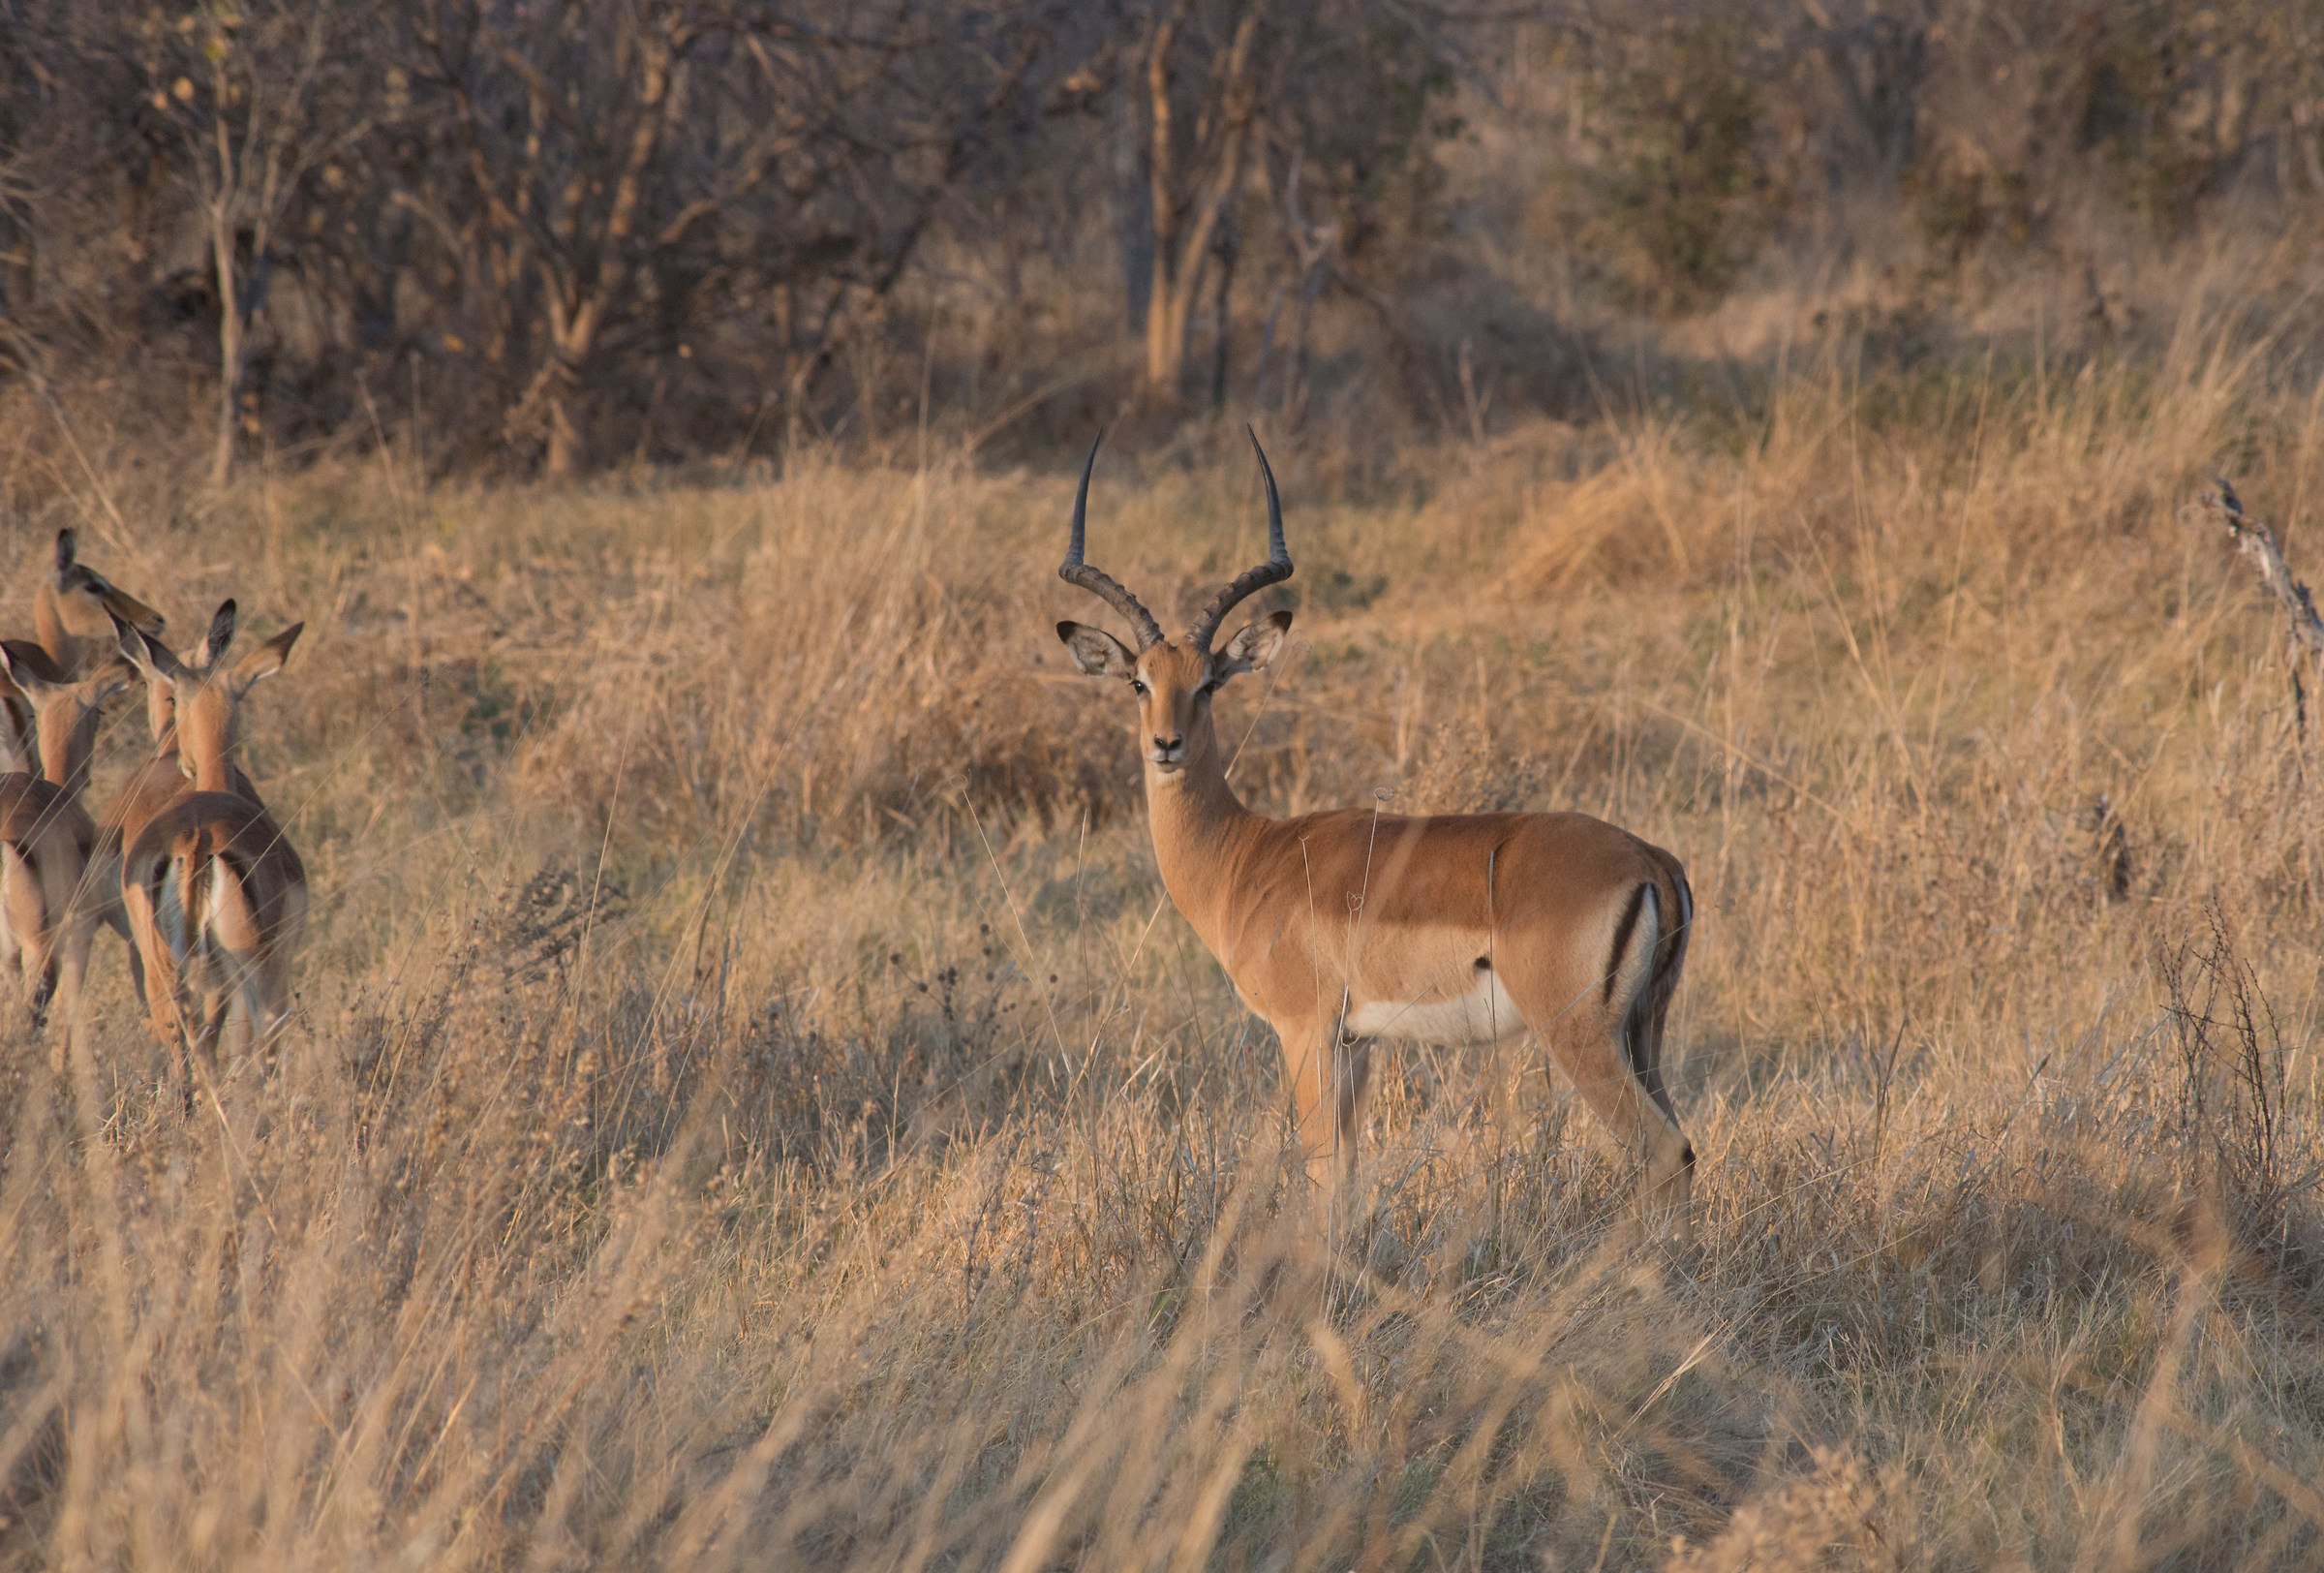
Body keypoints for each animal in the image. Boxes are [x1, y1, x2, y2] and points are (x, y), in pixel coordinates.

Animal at [118, 601, 307, 1100]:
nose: (181, 759)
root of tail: (197, 840)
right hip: (250, 974)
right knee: (250, 1057)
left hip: (166, 970)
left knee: (186, 1052)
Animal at [1053, 433, 1697, 1237]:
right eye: (1139, 681)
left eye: (1210, 682)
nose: (1166, 745)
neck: (1245, 856)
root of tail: (1651, 861)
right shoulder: (1358, 1043)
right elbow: (1348, 1177)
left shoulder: (1305, 1032)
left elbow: (1322, 1175)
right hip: (1645, 1033)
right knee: (1683, 1148)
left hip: (1579, 1036)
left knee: (1663, 1151)